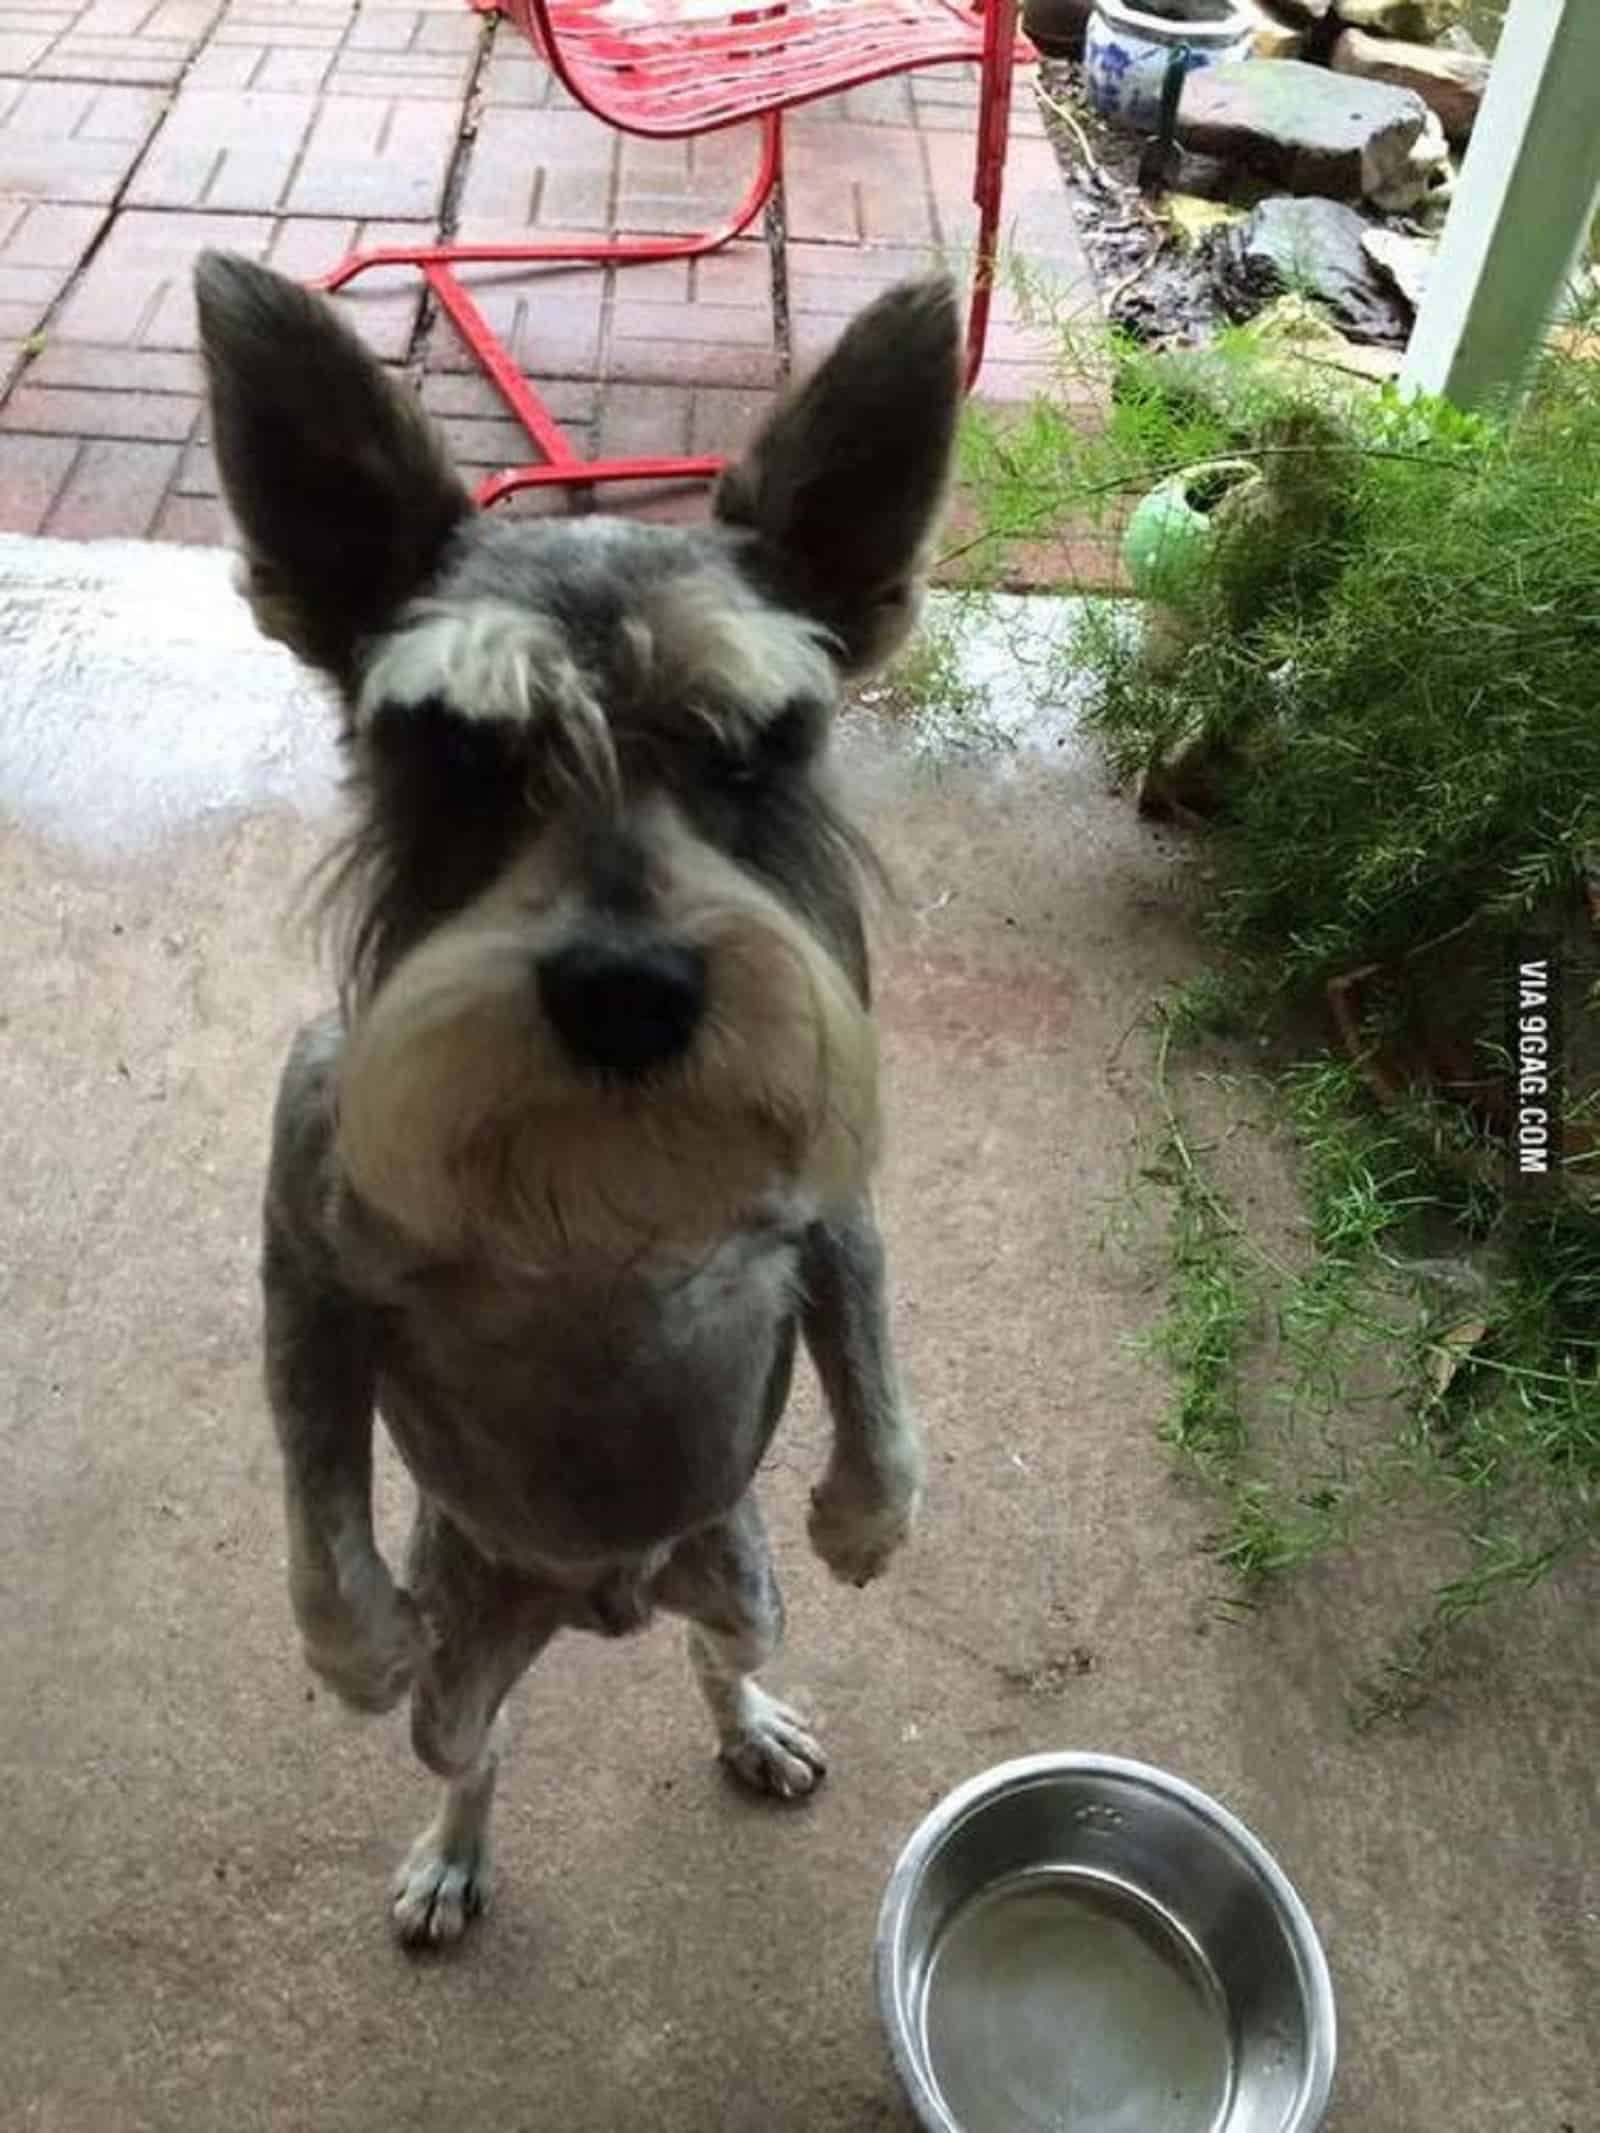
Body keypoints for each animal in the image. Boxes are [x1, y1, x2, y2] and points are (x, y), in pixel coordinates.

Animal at [194, 249, 960, 1953]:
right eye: (456, 753)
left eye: (757, 743)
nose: (630, 993)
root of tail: (605, 1597)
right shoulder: (306, 1252)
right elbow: (309, 1476)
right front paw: (348, 1640)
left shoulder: (827, 1204)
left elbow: (877, 1370)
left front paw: (871, 1521)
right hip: (479, 1654)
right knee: (479, 1747)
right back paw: (450, 1852)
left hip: (734, 1573)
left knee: (715, 1658)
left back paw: (757, 1725)